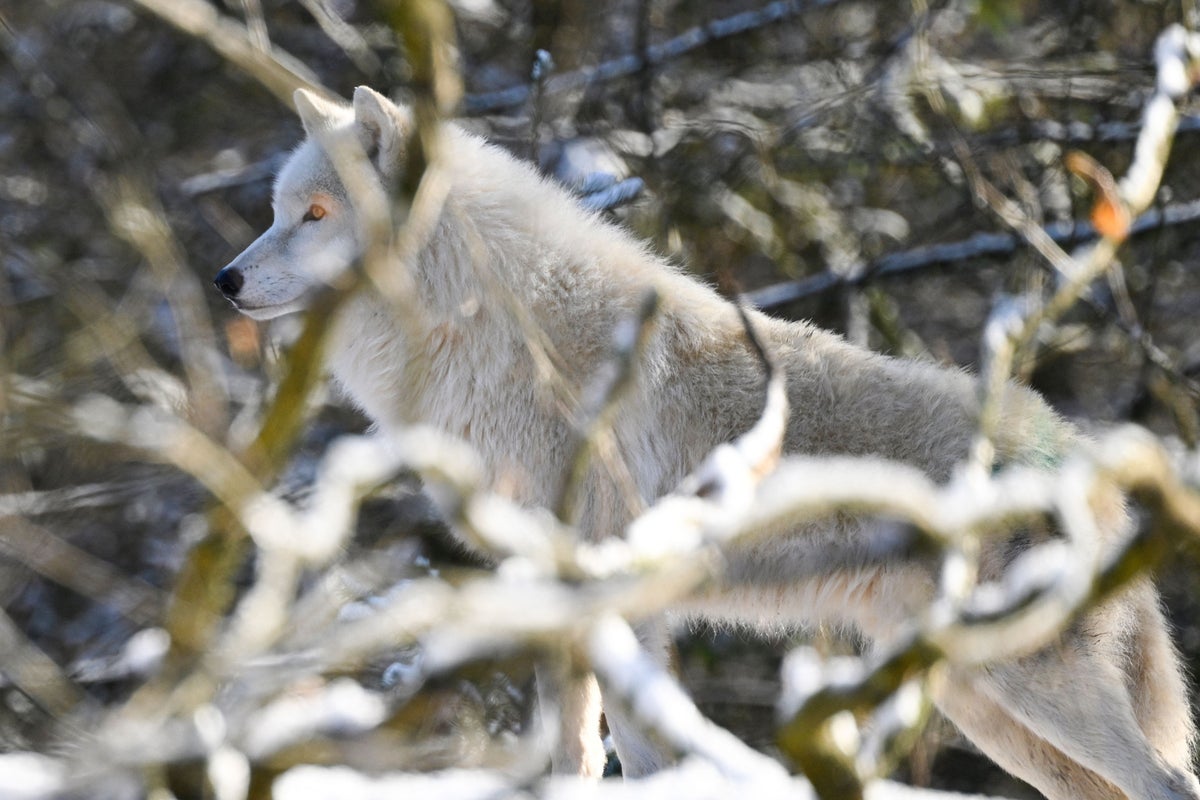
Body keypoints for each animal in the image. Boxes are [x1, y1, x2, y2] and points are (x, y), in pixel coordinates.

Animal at [213, 86, 1199, 800]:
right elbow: (573, 750)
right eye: (276, 211)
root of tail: (1081, 453)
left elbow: (646, 750)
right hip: (983, 705)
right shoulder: (552, 584)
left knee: (1167, 781)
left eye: (314, 214)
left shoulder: (620, 584)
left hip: (1027, 688)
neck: (498, 332)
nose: (223, 279)